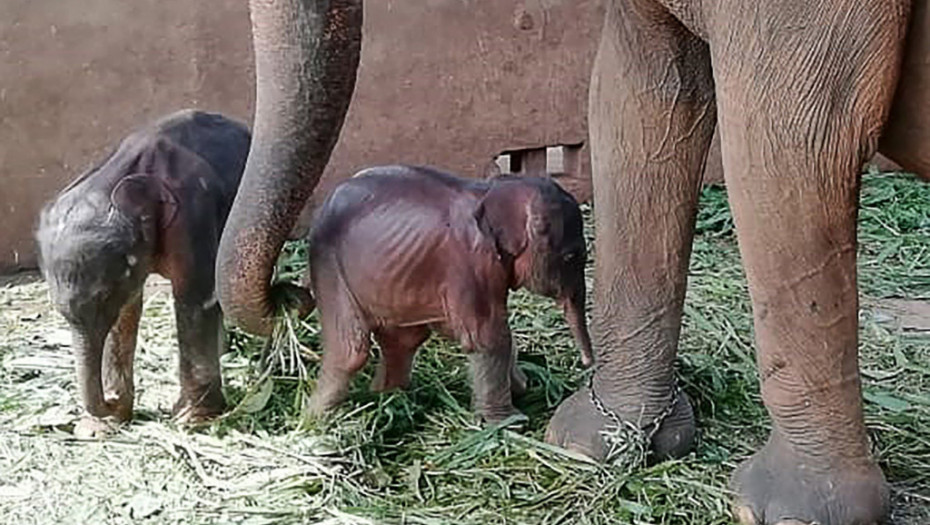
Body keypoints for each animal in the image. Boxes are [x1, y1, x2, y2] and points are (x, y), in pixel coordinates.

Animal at [308, 166, 592, 420]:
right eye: (571, 256)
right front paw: (510, 421)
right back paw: (316, 418)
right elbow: (487, 335)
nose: (587, 363)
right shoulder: (469, 264)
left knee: (404, 340)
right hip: (330, 266)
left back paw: (389, 398)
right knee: (351, 351)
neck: (494, 190)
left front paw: (522, 387)